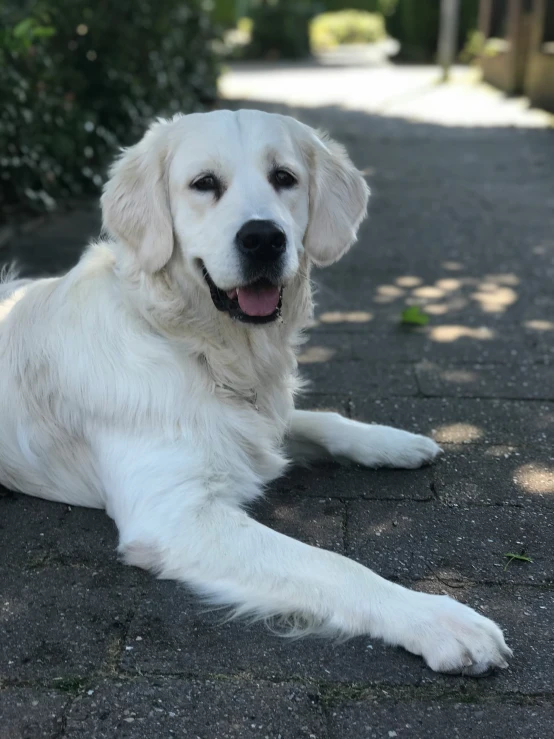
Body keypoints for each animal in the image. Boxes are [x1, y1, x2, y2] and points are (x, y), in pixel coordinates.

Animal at [0, 110, 508, 676]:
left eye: (284, 177)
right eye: (204, 183)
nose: (264, 239)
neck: (197, 347)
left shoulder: (263, 420)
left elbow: (322, 420)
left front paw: (393, 442)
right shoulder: (174, 515)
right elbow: (333, 564)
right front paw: (438, 619)